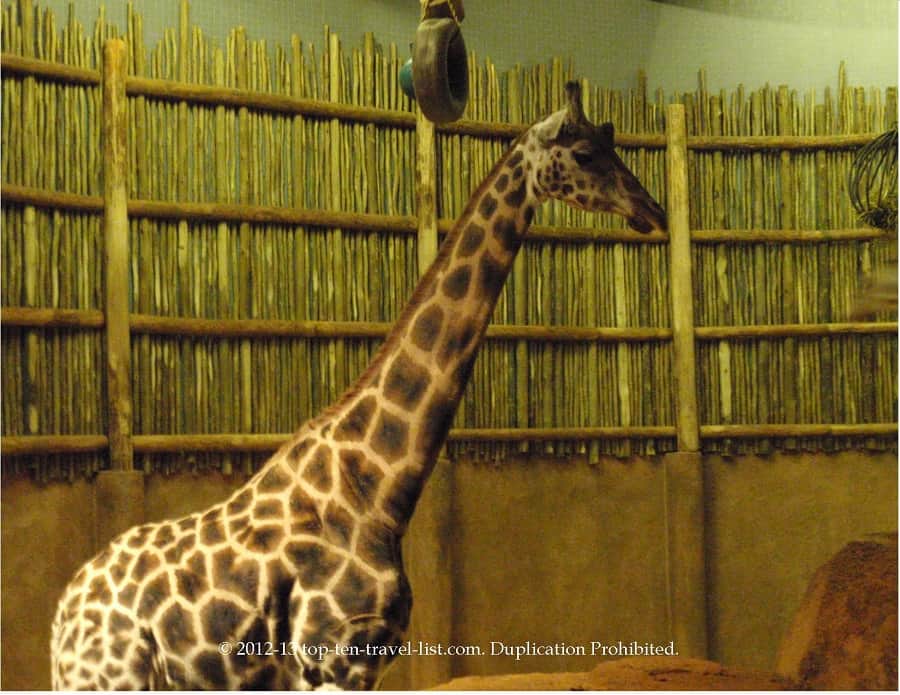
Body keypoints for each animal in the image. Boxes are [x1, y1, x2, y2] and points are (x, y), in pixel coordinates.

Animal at [50, 81, 666, 690]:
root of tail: (62, 616)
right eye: (584, 154)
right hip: (109, 679)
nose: (654, 210)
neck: (376, 486)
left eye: (614, 143)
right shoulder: (332, 660)